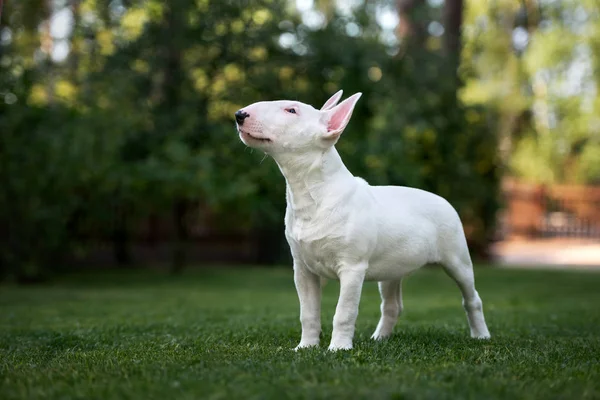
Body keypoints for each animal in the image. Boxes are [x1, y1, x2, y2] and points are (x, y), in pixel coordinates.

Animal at [234, 90, 492, 350]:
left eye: (291, 110)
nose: (239, 114)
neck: (314, 193)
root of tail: (444, 200)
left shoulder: (352, 267)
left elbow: (344, 311)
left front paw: (338, 348)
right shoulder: (303, 269)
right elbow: (308, 312)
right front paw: (306, 346)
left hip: (457, 259)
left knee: (472, 298)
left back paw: (481, 335)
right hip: (392, 269)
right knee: (392, 305)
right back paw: (380, 338)